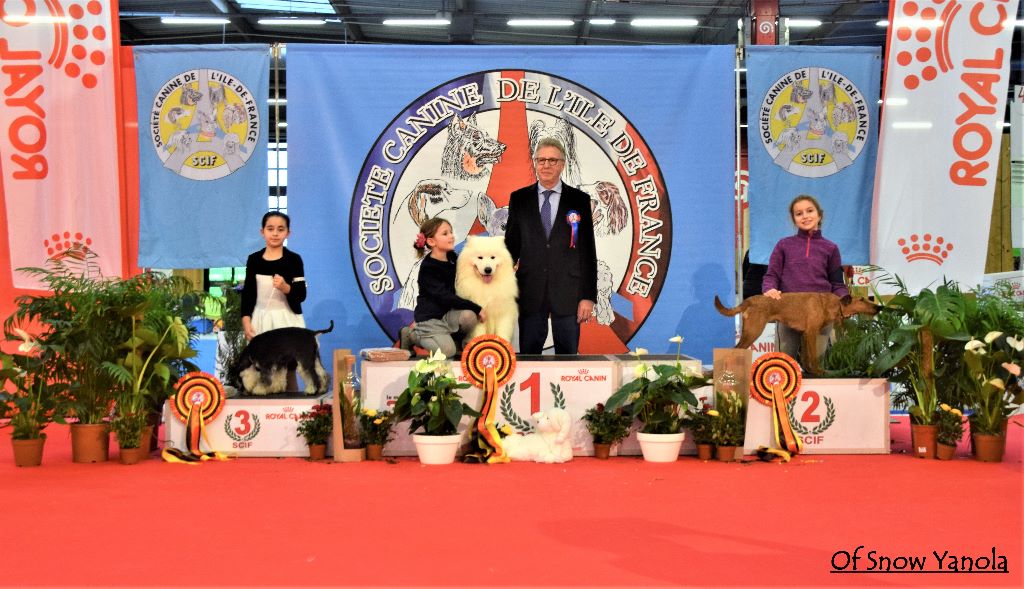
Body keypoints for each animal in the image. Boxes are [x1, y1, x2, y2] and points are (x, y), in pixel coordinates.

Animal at [716, 292, 876, 374]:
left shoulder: (805, 335)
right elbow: (813, 357)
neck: (831, 304)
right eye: (862, 300)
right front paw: (818, 371)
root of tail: (748, 300)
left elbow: (805, 357)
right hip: (752, 332)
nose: (878, 307)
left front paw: (809, 371)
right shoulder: (811, 333)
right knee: (734, 350)